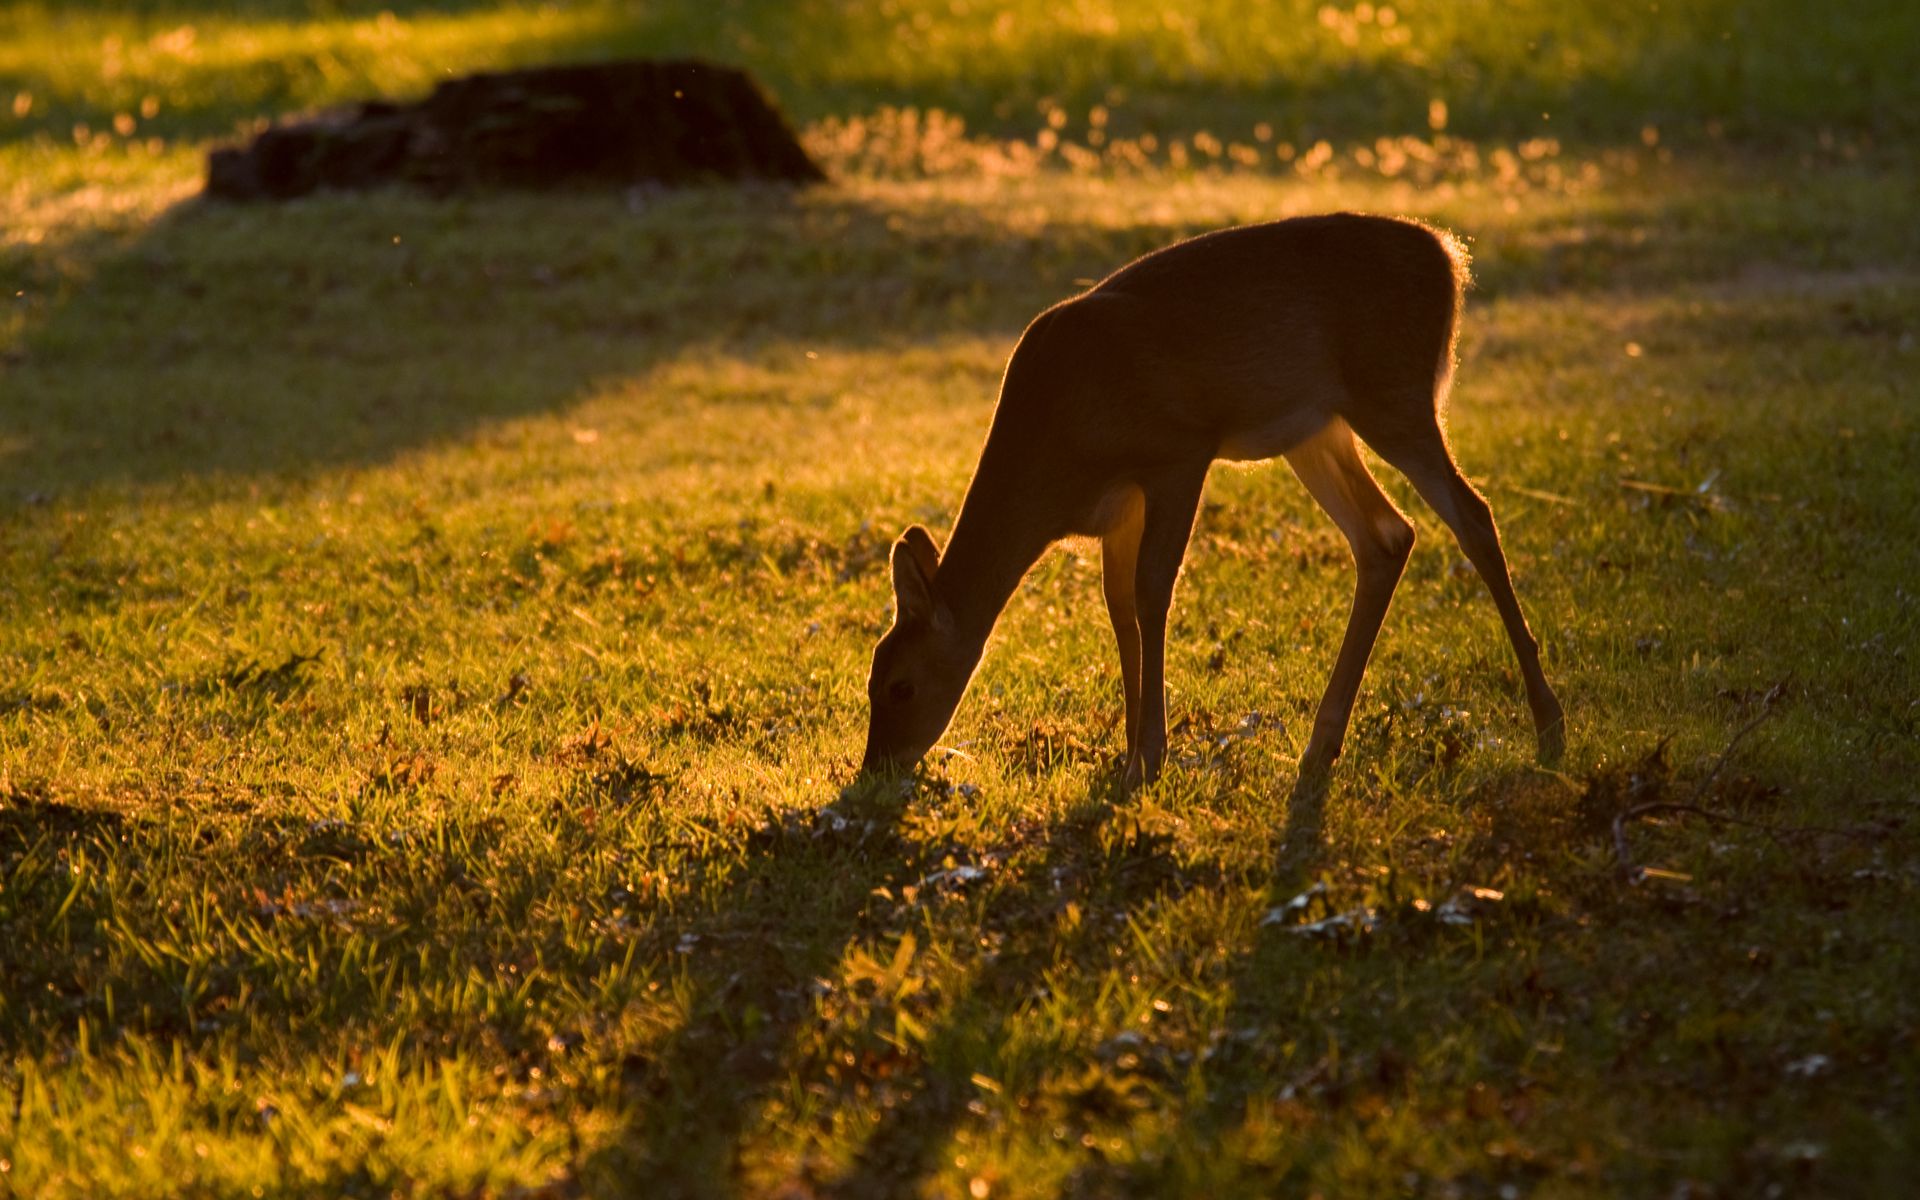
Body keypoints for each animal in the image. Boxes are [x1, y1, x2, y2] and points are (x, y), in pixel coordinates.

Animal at [864, 213, 1566, 787]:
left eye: (900, 687)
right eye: (871, 677)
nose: (875, 770)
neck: (1057, 458)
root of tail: (1448, 256)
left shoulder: (1178, 453)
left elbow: (1152, 592)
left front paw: (1148, 757)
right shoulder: (1120, 509)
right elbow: (1118, 606)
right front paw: (1127, 750)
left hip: (1393, 394)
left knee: (1472, 515)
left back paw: (1549, 724)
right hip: (1318, 428)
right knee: (1386, 535)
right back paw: (1322, 744)